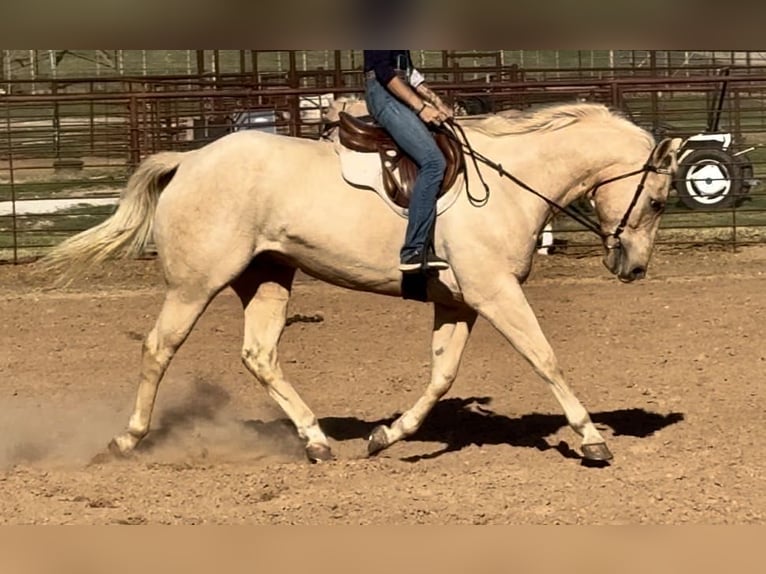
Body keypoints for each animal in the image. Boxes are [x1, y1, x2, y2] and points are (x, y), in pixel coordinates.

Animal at [39, 101, 680, 466]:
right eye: (657, 199)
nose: (633, 267)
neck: (509, 181)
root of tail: (190, 160)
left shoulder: (460, 302)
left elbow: (442, 376)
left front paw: (387, 437)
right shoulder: (495, 292)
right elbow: (545, 358)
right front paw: (591, 439)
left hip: (267, 276)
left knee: (259, 354)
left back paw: (316, 440)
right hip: (196, 284)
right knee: (159, 348)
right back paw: (127, 441)